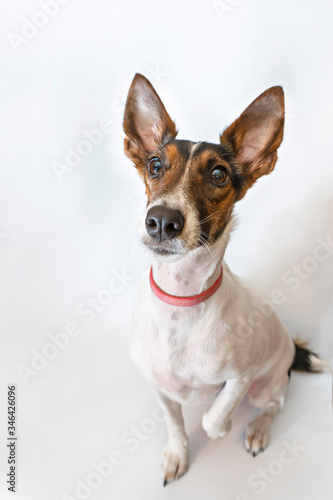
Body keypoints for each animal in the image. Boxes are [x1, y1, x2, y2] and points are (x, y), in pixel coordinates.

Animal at [122, 74, 330, 484]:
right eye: (155, 165)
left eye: (218, 174)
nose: (162, 221)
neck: (182, 298)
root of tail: (290, 349)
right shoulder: (159, 386)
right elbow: (176, 425)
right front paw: (177, 455)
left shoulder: (241, 377)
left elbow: (213, 418)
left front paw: (223, 424)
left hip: (265, 384)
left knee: (276, 402)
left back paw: (258, 429)